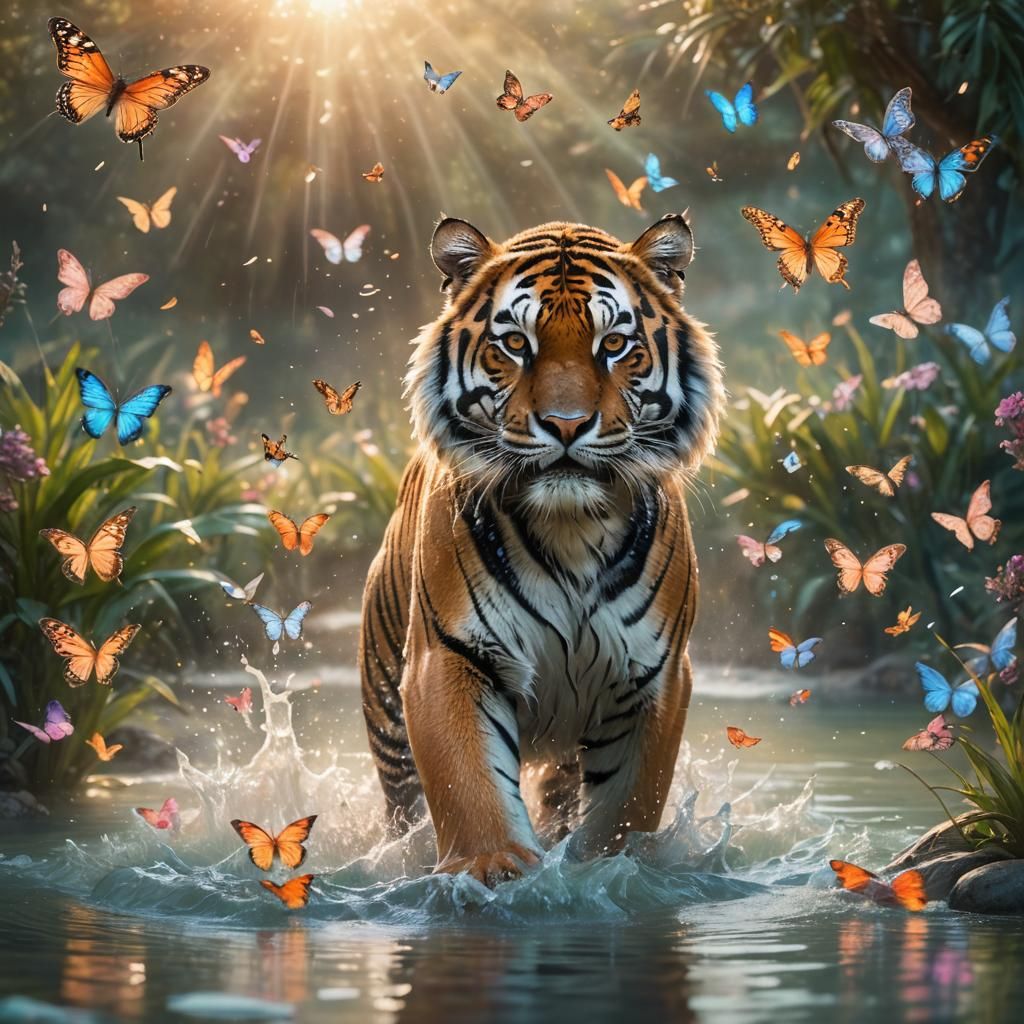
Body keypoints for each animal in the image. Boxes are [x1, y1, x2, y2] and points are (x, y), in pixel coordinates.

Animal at [358, 214, 724, 886]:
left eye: (614, 344)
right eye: (514, 344)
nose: (566, 424)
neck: (569, 527)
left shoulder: (655, 679)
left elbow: (626, 807)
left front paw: (605, 870)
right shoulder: (450, 657)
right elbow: (469, 788)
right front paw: (493, 869)